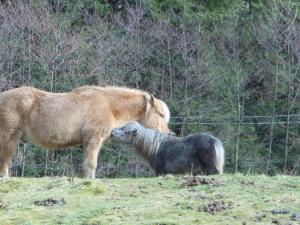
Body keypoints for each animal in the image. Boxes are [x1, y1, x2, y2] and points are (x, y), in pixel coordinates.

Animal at [0, 85, 170, 178]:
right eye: (161, 114)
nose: (168, 134)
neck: (109, 106)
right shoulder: (93, 140)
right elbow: (91, 164)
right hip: (9, 139)